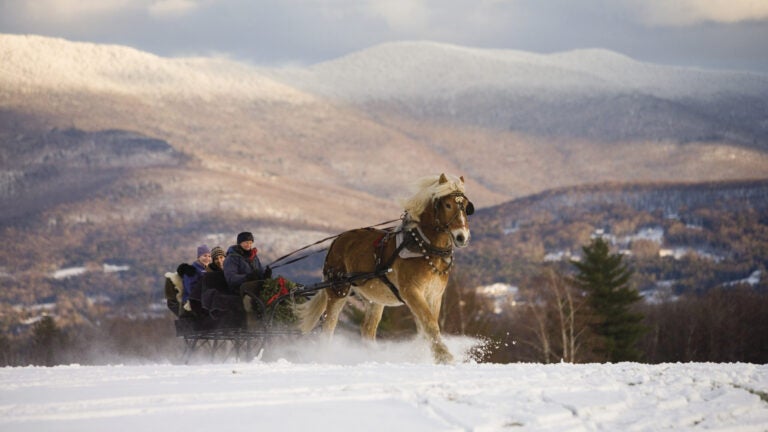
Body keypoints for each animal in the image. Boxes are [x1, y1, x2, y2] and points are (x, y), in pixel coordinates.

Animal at [298, 174, 474, 362]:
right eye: (448, 205)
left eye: (466, 207)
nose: (462, 237)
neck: (424, 248)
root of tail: (336, 241)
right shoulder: (411, 291)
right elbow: (430, 323)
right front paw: (444, 356)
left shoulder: (434, 295)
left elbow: (425, 327)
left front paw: (420, 355)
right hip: (338, 290)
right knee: (329, 326)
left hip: (373, 299)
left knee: (367, 330)